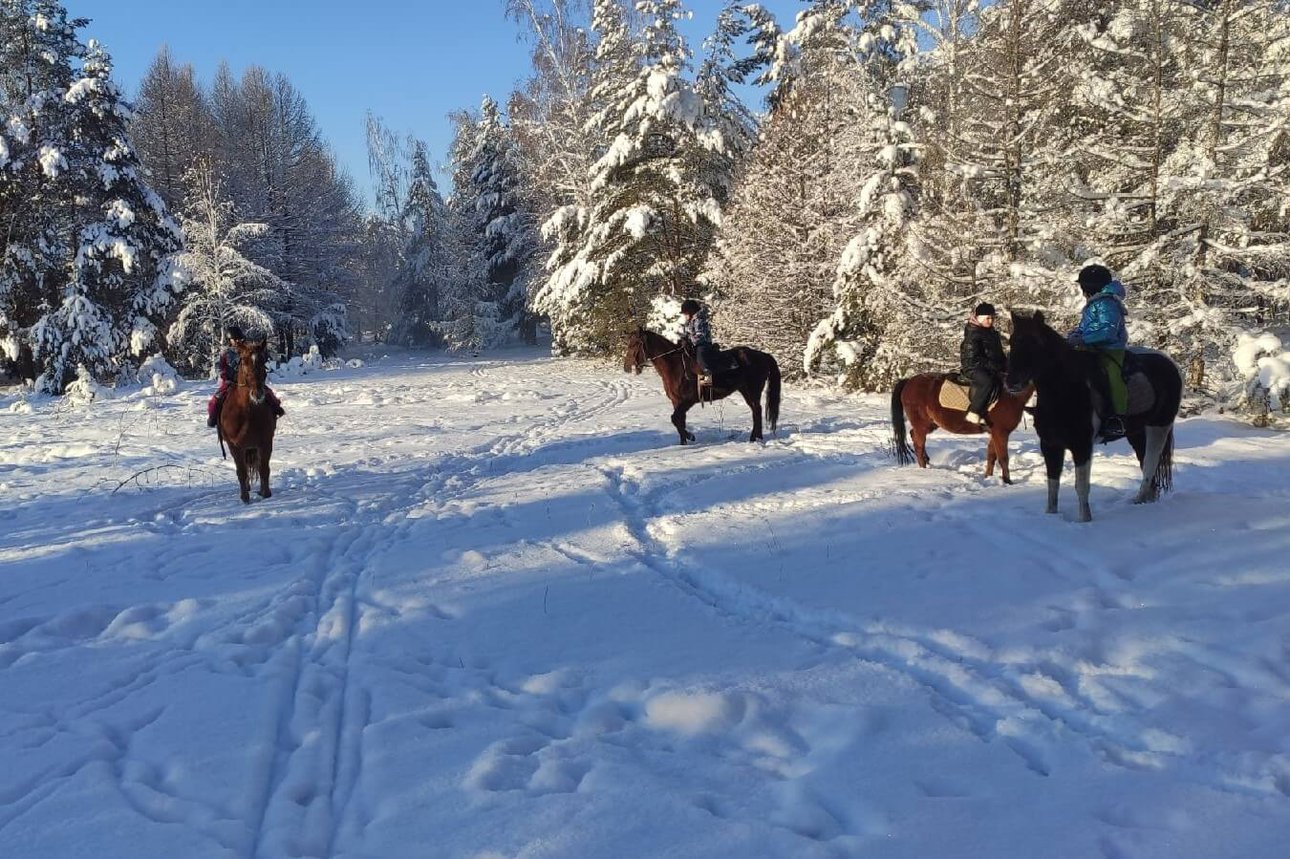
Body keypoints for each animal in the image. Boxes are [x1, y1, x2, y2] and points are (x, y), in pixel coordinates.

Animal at [219, 335, 277, 503]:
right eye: (244, 361)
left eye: (263, 361)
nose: (258, 393)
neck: (248, 413)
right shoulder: (235, 446)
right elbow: (241, 471)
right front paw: (245, 498)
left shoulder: (265, 443)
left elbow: (264, 468)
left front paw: (265, 493)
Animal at [621, 327, 774, 443]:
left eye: (634, 344)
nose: (626, 367)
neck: (675, 366)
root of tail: (763, 355)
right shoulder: (676, 401)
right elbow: (679, 421)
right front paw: (683, 442)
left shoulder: (688, 400)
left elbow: (675, 419)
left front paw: (691, 436)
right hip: (746, 391)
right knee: (755, 410)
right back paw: (756, 437)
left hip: (753, 390)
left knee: (757, 410)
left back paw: (755, 438)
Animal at [892, 374, 1032, 484]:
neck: (1012, 395)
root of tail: (909, 381)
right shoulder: (1001, 432)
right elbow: (1003, 458)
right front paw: (1007, 481)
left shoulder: (994, 433)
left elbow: (991, 455)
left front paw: (988, 477)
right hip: (921, 425)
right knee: (918, 444)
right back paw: (924, 470)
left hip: (930, 424)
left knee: (914, 436)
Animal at [1001, 309, 1181, 518]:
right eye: (1012, 341)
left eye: (1035, 342)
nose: (1011, 382)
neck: (1064, 390)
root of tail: (1170, 364)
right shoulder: (1050, 445)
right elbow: (1052, 485)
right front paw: (1051, 516)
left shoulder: (1082, 446)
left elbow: (1081, 486)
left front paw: (1084, 520)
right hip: (1137, 432)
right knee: (1144, 462)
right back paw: (1143, 500)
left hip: (1159, 426)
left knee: (1151, 462)